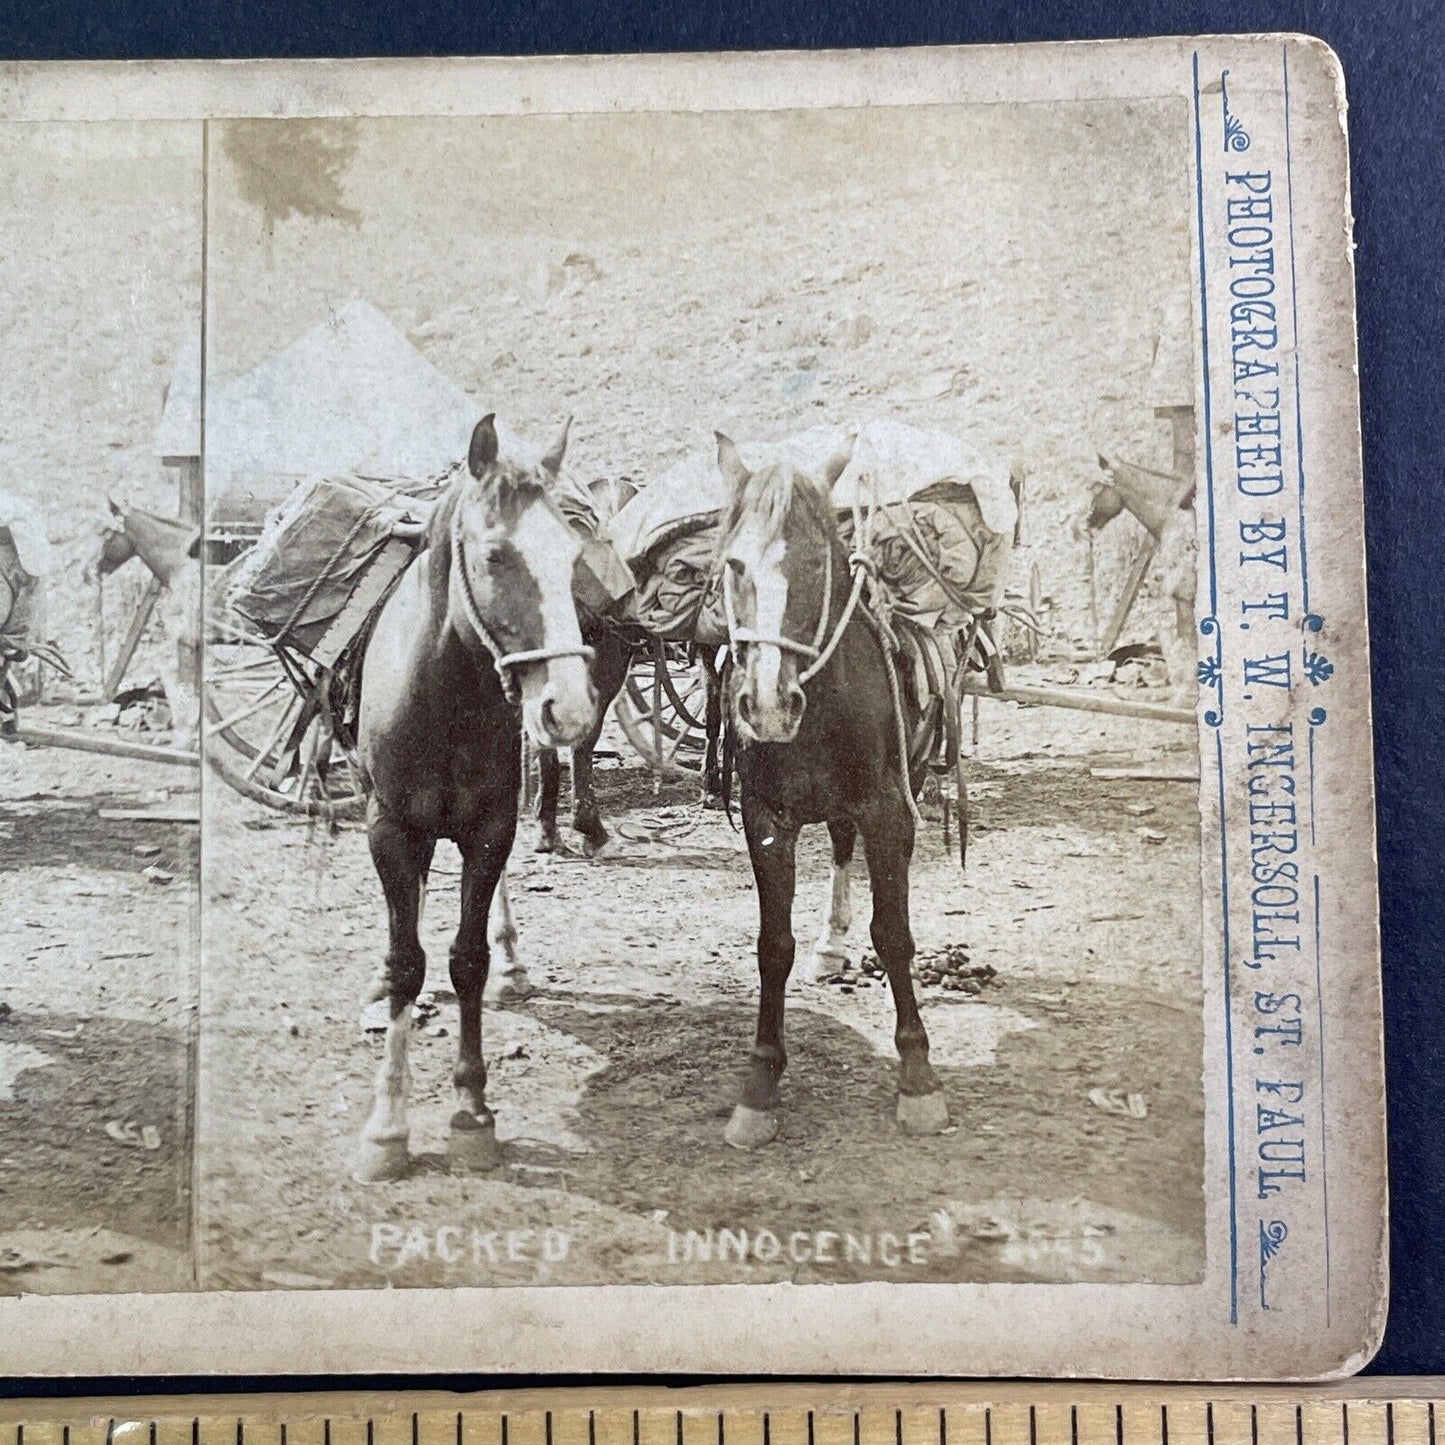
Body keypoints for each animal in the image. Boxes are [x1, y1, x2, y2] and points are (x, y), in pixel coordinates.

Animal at [352, 413, 595, 1179]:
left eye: (571, 555)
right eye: (495, 555)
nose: (569, 709)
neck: (445, 699)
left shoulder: (489, 830)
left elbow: (466, 958)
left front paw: (470, 1110)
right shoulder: (391, 829)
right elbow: (406, 959)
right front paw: (387, 1125)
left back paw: (513, 960)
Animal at [716, 430, 953, 1150]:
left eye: (817, 562)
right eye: (733, 563)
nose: (767, 705)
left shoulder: (888, 812)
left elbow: (894, 933)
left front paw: (917, 1077)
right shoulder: (768, 820)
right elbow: (772, 946)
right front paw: (759, 1086)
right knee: (840, 845)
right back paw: (829, 944)